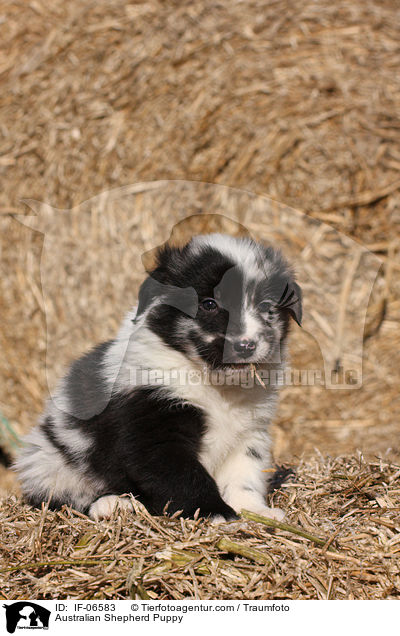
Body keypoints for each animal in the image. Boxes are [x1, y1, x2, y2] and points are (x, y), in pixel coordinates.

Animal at [16, 234, 304, 520]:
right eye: (209, 304)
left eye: (266, 306)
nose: (246, 346)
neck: (214, 384)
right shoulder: (153, 425)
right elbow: (185, 477)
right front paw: (215, 513)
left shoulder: (248, 433)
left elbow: (244, 476)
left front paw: (255, 512)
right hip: (48, 464)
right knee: (63, 499)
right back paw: (112, 504)